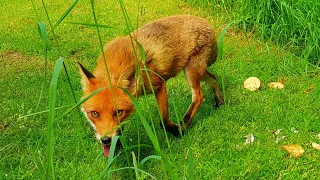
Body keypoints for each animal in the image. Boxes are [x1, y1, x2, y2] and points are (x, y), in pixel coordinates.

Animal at [79, 14, 224, 157]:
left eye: (118, 112)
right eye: (94, 114)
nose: (106, 139)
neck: (117, 63)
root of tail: (206, 22)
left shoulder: (159, 85)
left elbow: (163, 121)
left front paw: (177, 132)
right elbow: (119, 129)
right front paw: (116, 147)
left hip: (191, 72)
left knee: (199, 96)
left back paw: (185, 123)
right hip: (197, 72)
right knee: (213, 78)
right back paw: (219, 100)